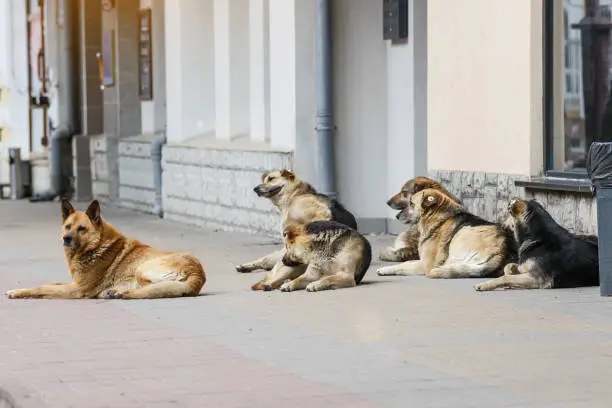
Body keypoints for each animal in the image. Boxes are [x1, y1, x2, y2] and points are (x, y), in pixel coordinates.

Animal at [4, 198, 207, 300]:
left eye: (82, 229)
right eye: (68, 226)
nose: (66, 239)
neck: (95, 247)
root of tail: (198, 274)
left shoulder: (77, 289)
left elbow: (42, 288)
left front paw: (18, 292)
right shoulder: (74, 283)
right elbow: (51, 283)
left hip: (142, 269)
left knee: (149, 290)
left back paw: (119, 293)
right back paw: (114, 293)